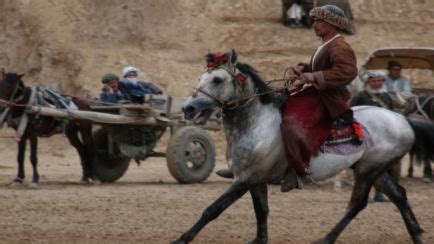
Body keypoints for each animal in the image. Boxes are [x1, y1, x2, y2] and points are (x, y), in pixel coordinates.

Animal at [170, 50, 430, 243]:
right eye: (201, 78)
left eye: (217, 79)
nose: (188, 108)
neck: (257, 123)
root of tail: (402, 119)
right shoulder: (255, 180)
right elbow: (261, 211)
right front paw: (259, 240)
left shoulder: (244, 179)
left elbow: (212, 210)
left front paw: (182, 238)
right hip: (373, 170)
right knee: (399, 196)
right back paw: (416, 234)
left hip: (368, 170)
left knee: (357, 204)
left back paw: (326, 239)